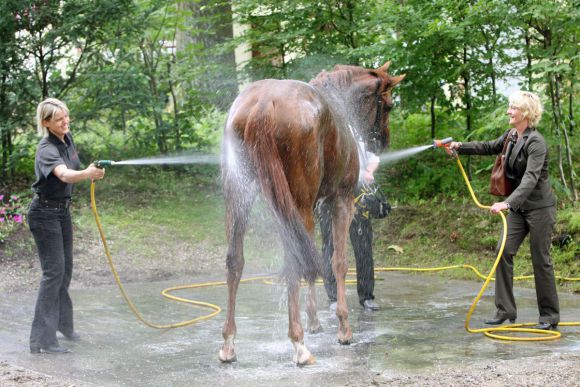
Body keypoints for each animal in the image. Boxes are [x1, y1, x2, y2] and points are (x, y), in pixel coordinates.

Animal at [218, 62, 404, 366]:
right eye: (387, 105)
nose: (382, 144)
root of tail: (262, 106)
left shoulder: (315, 206)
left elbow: (315, 261)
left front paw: (315, 320)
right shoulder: (340, 200)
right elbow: (337, 262)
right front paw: (343, 327)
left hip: (241, 199)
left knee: (235, 260)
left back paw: (229, 343)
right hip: (297, 202)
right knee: (295, 260)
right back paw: (299, 344)